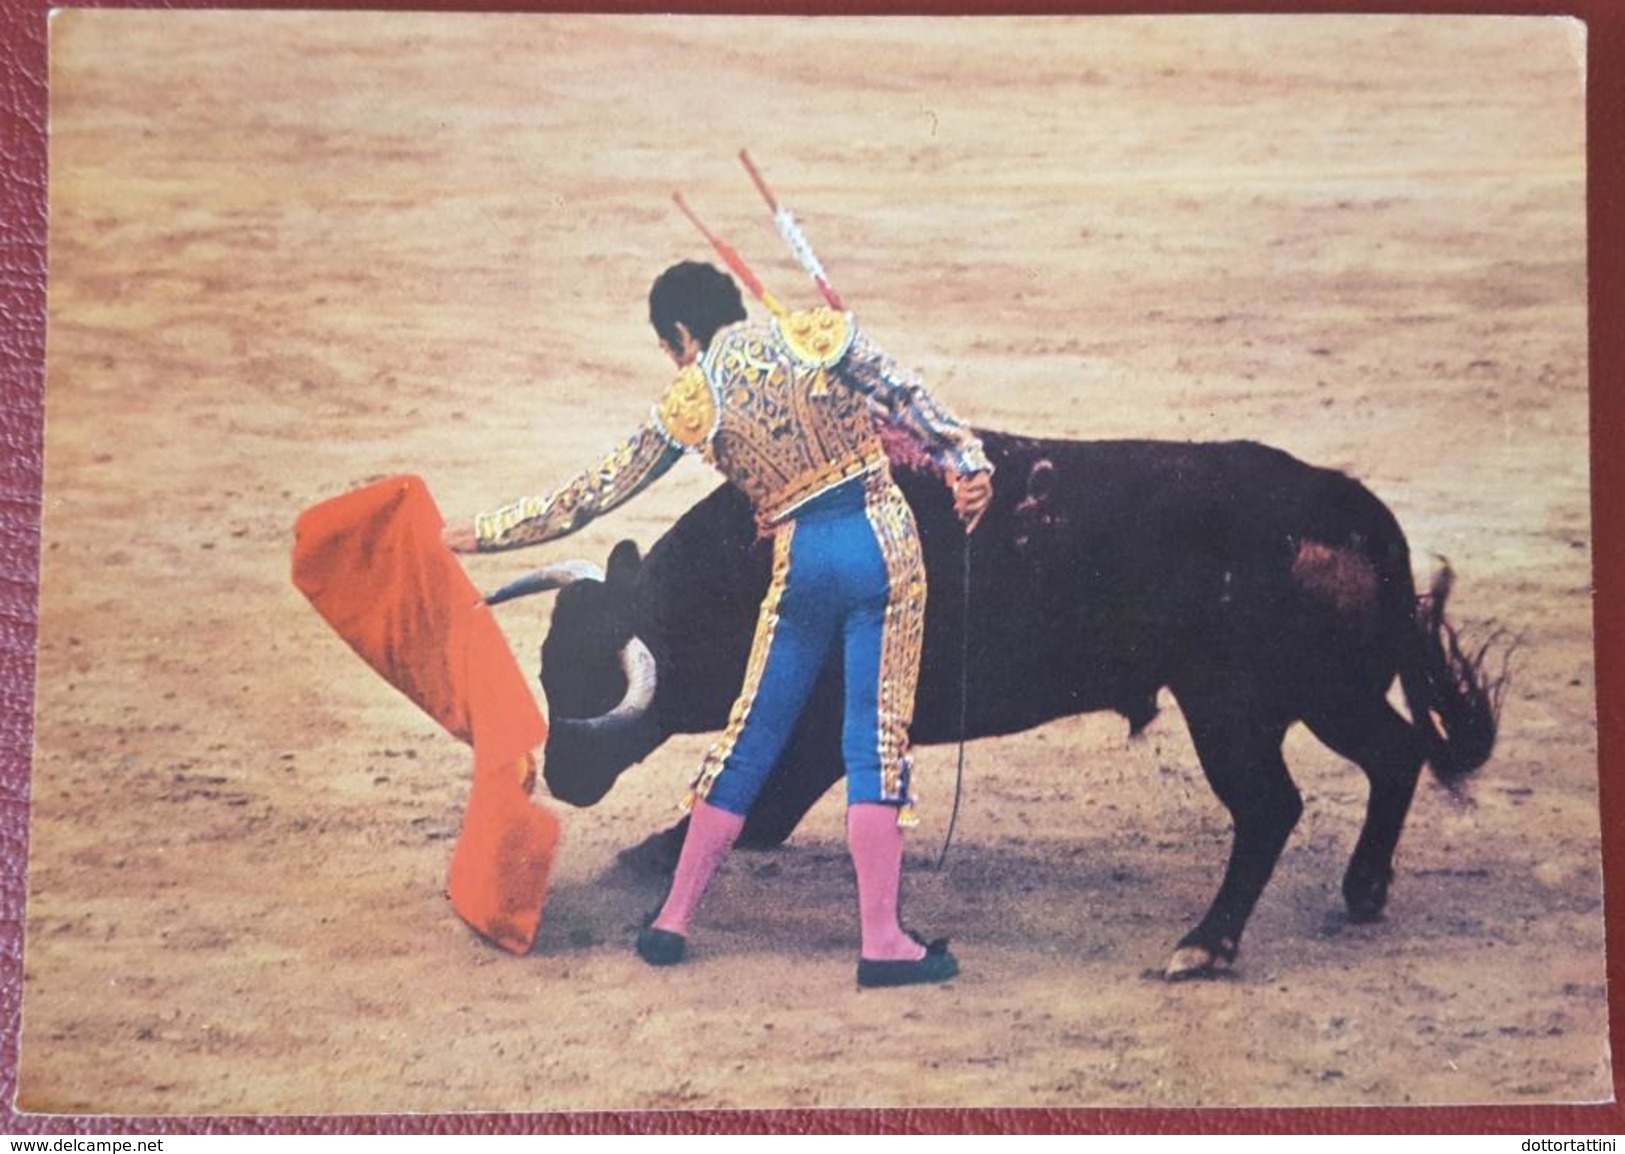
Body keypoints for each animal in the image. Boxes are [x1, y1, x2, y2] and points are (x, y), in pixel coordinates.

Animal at [500, 429, 1501, 981]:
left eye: (593, 682)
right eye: (548, 665)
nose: (562, 775)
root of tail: (1349, 506)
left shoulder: (824, 728)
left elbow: (761, 807)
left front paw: (649, 854)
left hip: (1233, 706)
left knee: (1269, 808)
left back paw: (1202, 947)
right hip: (1330, 690)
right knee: (1396, 755)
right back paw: (1361, 893)